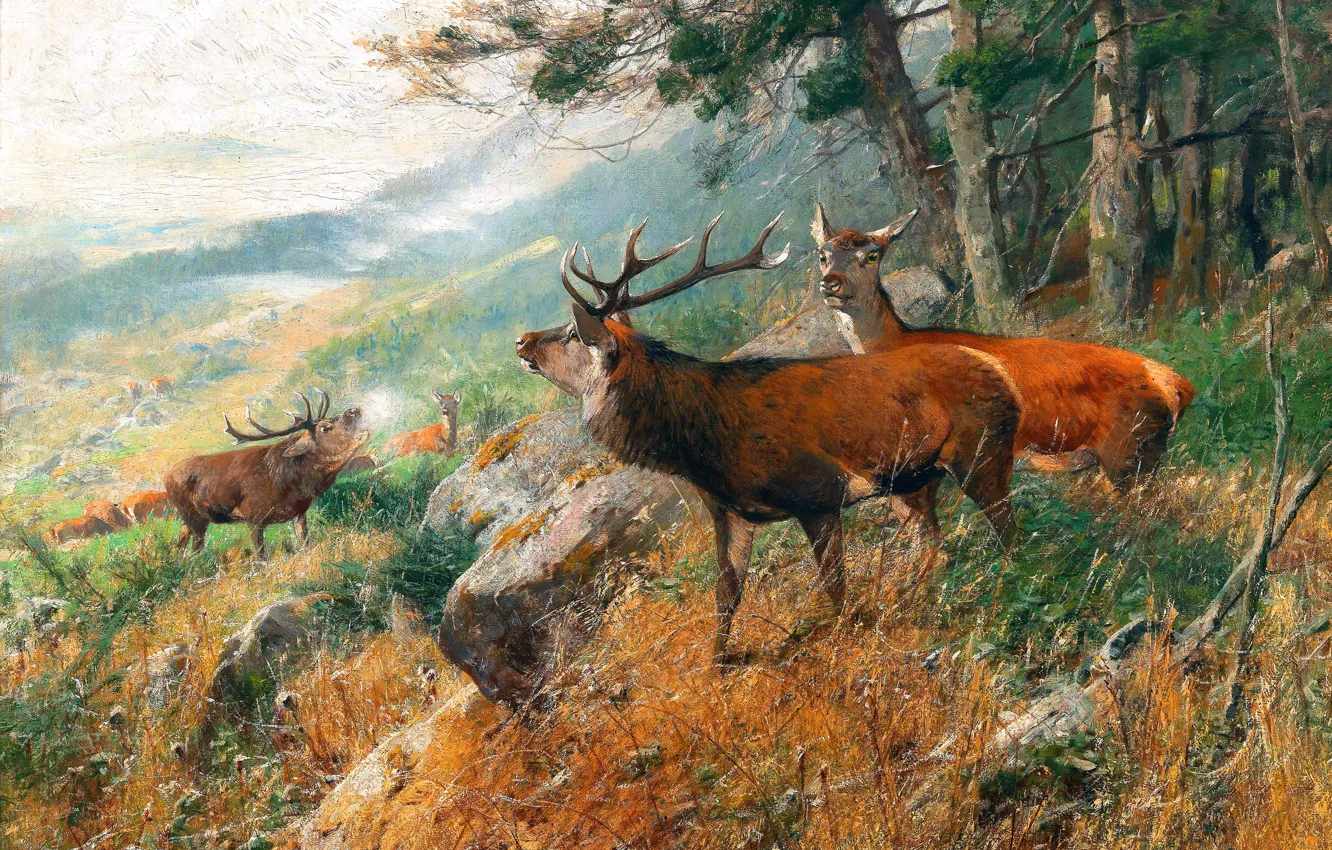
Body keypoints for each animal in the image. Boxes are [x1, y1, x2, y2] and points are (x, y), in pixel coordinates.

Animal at [163, 390, 368, 557]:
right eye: (325, 428)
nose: (353, 410)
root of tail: (165, 475)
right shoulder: (253, 517)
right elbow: (261, 557)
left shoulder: (299, 513)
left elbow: (305, 545)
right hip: (193, 516)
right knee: (194, 551)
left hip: (190, 520)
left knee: (180, 543)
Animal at [526, 214, 1023, 664]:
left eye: (570, 334)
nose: (522, 341)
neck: (704, 448)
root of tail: (1001, 374)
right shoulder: (732, 514)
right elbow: (725, 596)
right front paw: (717, 666)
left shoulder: (819, 493)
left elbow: (834, 584)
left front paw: (849, 637)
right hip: (919, 477)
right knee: (935, 539)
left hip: (981, 453)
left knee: (1007, 530)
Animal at [813, 204, 1195, 491]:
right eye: (822, 254)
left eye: (872, 255)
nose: (831, 284)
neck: (897, 343)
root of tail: (1179, 385)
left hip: (1127, 451)